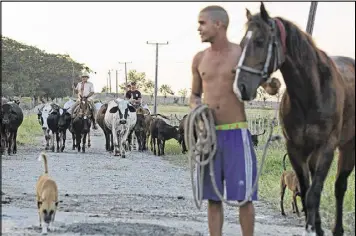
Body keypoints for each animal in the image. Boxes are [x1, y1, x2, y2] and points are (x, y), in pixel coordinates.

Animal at [234, 2, 354, 236]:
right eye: (242, 43)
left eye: (260, 41)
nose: (241, 86)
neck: (312, 92)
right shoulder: (296, 150)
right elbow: (307, 192)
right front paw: (314, 227)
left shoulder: (327, 147)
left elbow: (314, 194)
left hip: (347, 146)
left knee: (340, 186)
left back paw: (337, 229)